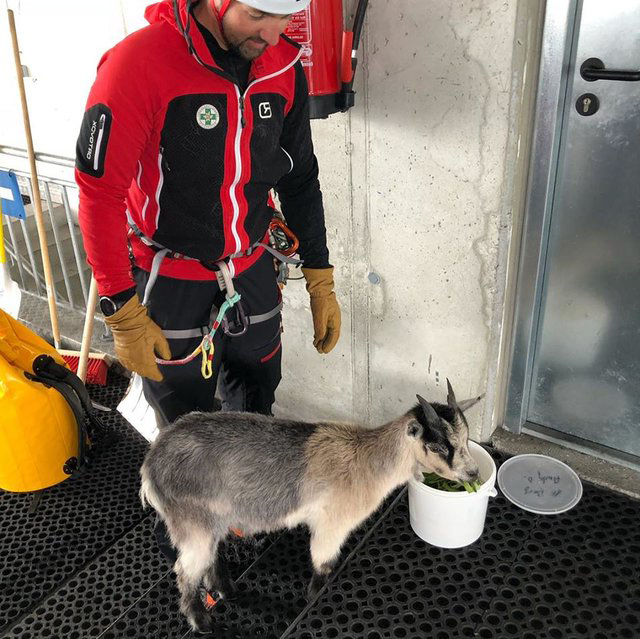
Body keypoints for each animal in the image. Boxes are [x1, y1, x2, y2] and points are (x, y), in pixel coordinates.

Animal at [139, 380, 481, 632]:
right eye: (439, 446)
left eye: (466, 440)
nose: (473, 474)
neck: (367, 460)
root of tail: (151, 465)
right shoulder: (331, 525)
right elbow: (323, 565)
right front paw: (314, 599)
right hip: (192, 523)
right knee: (186, 571)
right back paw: (202, 622)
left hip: (214, 520)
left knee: (210, 559)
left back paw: (227, 590)